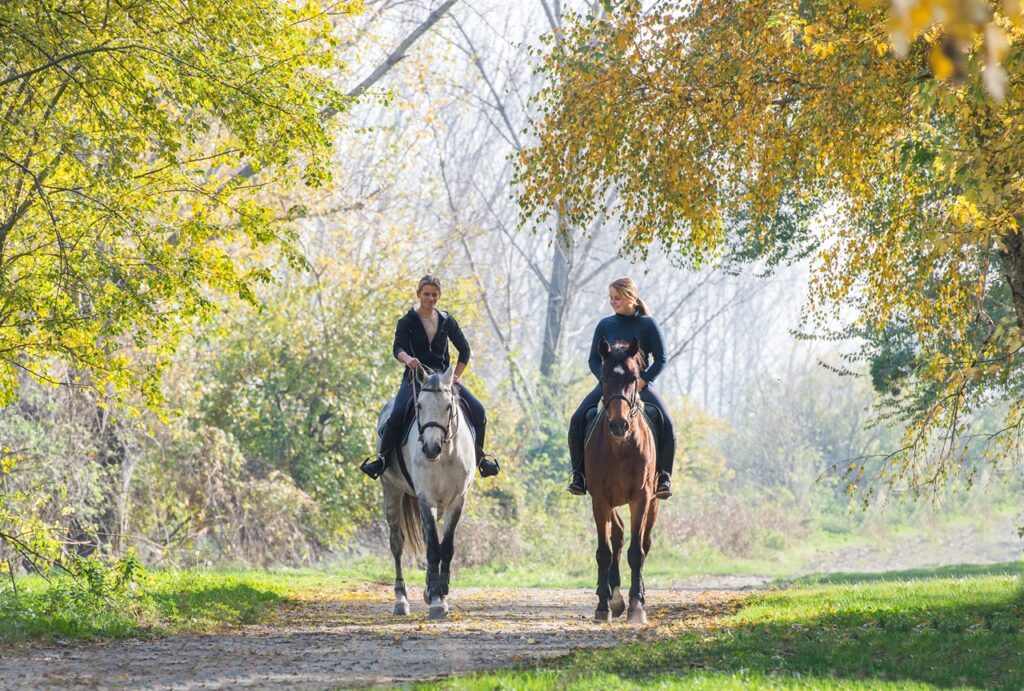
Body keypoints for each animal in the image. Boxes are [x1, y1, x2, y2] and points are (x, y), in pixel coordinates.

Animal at [378, 364, 476, 620]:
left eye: (448, 406)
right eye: (419, 405)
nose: (431, 448)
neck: (446, 455)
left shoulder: (457, 500)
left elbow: (446, 547)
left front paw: (439, 589)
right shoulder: (426, 498)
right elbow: (433, 548)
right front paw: (437, 601)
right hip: (391, 490)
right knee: (397, 543)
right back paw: (401, 600)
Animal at [586, 336, 659, 624]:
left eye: (633, 377)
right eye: (605, 376)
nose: (619, 425)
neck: (619, 448)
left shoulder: (641, 497)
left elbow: (636, 552)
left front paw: (637, 608)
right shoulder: (599, 500)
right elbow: (604, 552)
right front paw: (603, 606)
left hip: (653, 502)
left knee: (644, 543)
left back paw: (637, 595)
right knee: (616, 536)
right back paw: (612, 597)